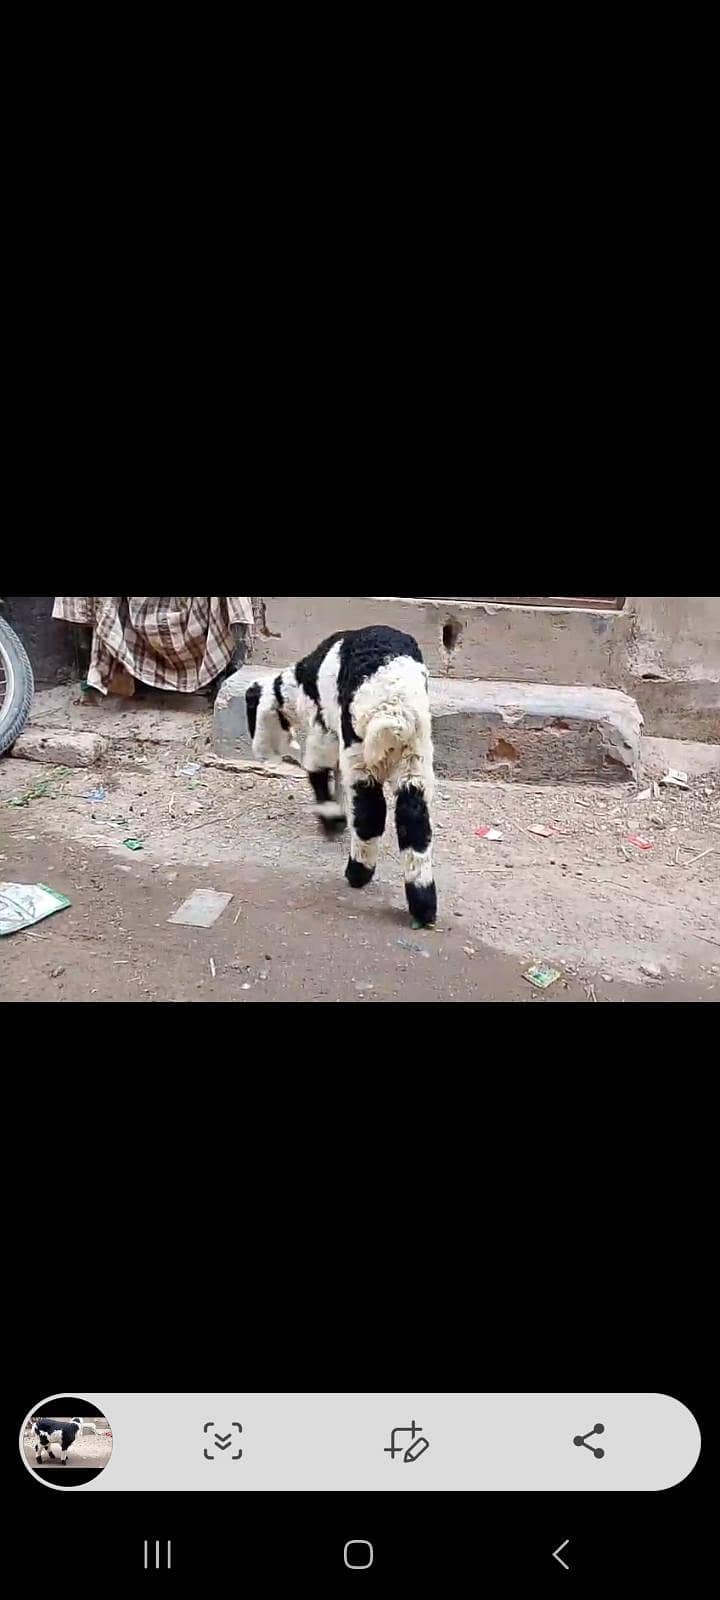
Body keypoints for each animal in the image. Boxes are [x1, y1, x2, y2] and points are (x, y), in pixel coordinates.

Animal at [245, 625, 437, 926]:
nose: (260, 754)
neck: (299, 685)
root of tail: (394, 707)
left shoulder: (324, 729)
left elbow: (318, 769)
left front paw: (332, 819)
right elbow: (337, 779)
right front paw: (340, 813)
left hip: (360, 749)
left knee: (371, 815)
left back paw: (358, 873)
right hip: (415, 757)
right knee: (414, 820)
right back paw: (423, 904)